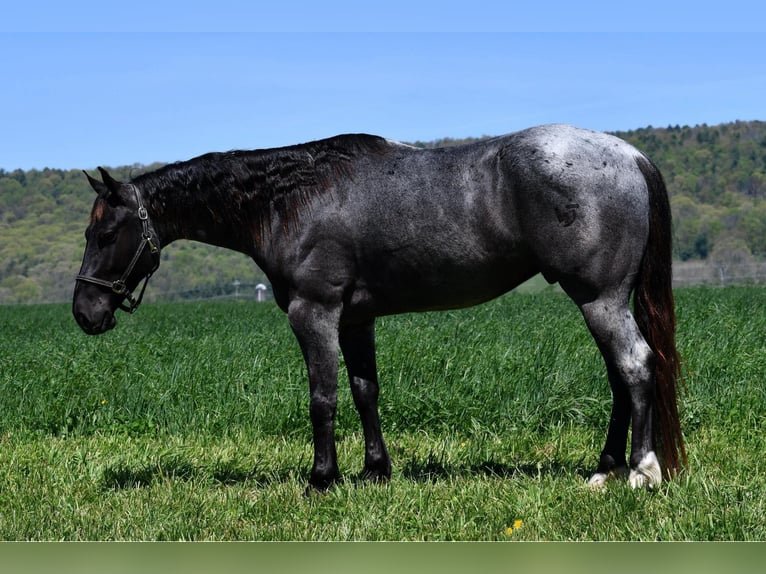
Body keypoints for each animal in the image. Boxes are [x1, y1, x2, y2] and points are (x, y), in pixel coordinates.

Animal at [72, 124, 688, 492]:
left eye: (106, 234)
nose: (84, 311)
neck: (290, 200)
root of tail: (630, 155)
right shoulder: (356, 319)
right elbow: (366, 390)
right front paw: (374, 471)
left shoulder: (314, 313)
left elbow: (323, 397)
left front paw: (321, 478)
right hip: (600, 302)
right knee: (620, 376)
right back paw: (604, 470)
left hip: (598, 300)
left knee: (635, 366)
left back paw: (641, 472)